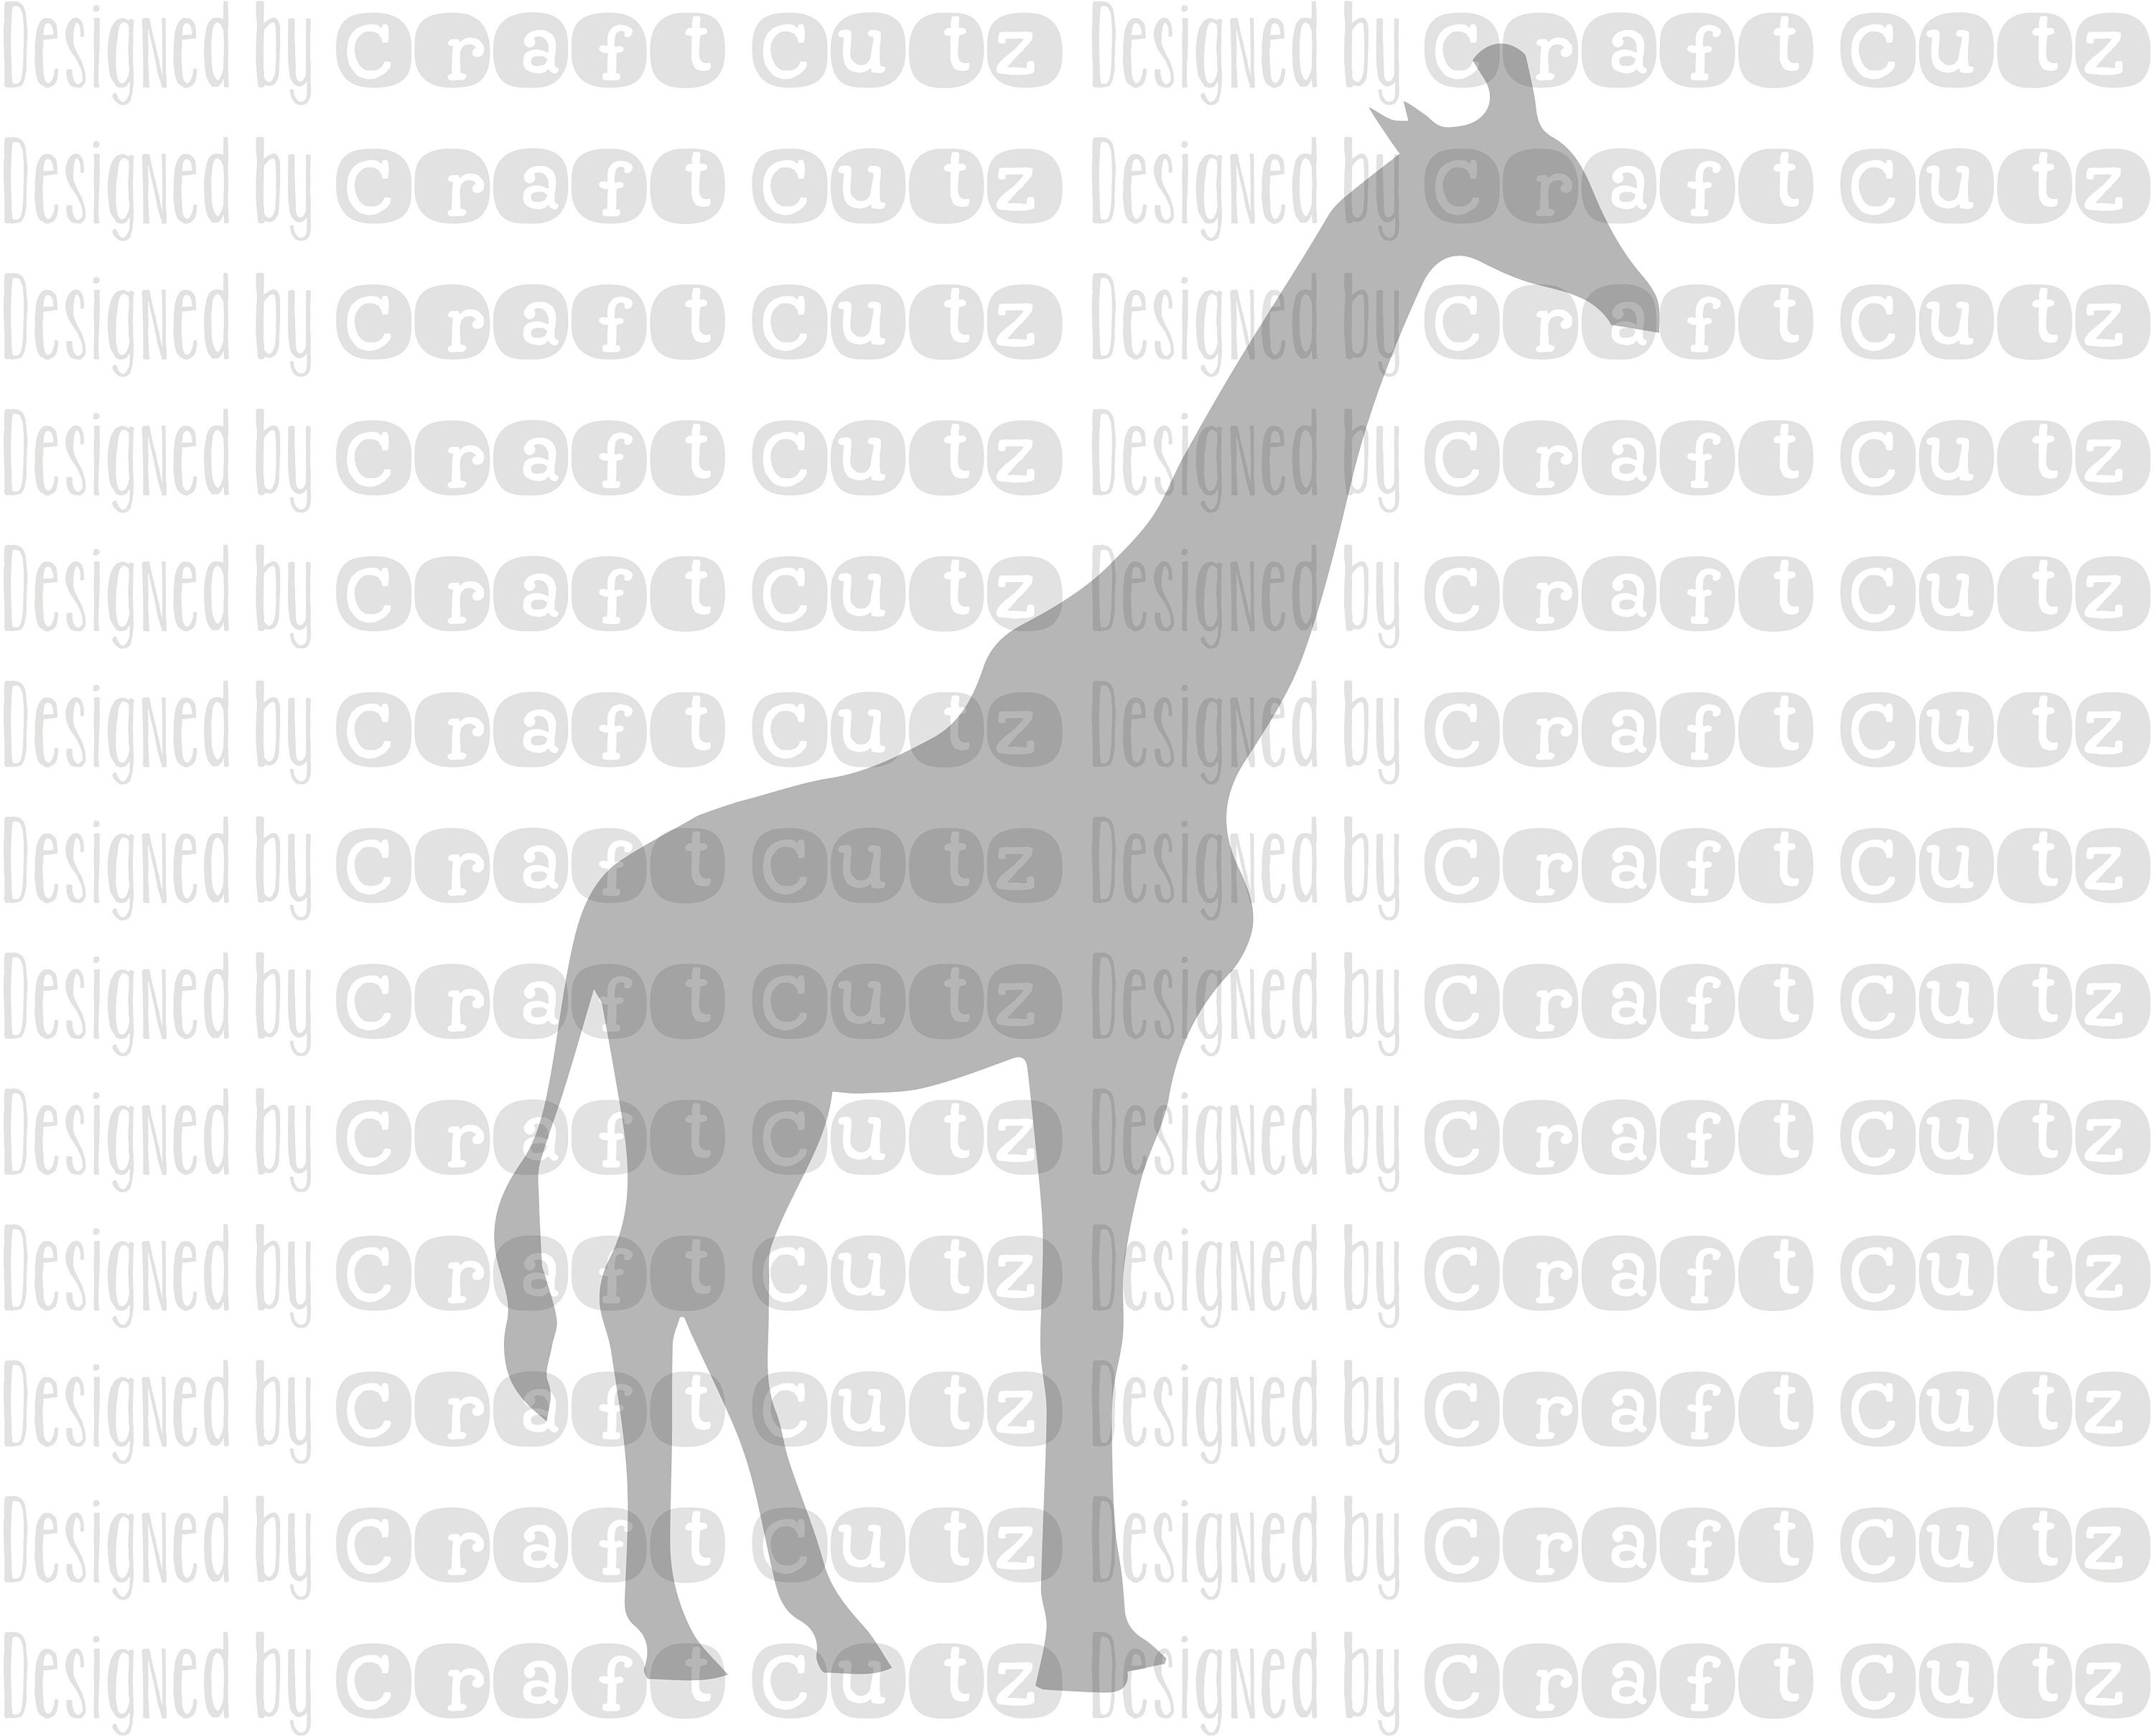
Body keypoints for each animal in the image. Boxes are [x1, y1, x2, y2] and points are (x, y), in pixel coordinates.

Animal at [495, 44, 1656, 1692]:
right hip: (714, 1096)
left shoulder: (1114, 1049)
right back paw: (687, 1638)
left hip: (772, 1103)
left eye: (1576, 171)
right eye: (1526, 185)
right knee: (650, 1287)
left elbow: (1085, 1314)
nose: (1639, 301)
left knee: (696, 1291)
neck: (1201, 709)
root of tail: (593, 928)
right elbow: (1078, 1320)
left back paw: (823, 1628)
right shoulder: (1106, 1036)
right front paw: (1083, 1646)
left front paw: (1110, 1630)